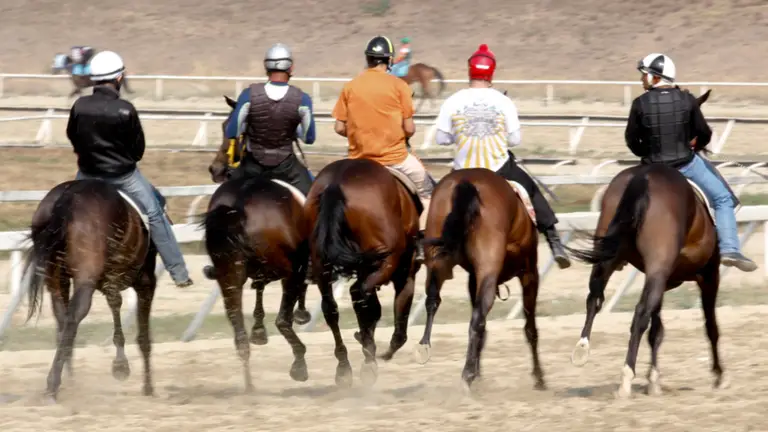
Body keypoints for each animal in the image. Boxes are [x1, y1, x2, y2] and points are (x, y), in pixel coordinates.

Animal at [24, 179, 161, 401]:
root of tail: (68, 195)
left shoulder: (109, 282)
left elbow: (115, 304)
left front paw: (121, 365)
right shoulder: (145, 282)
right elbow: (144, 338)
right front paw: (146, 386)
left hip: (56, 278)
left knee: (62, 317)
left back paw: (68, 381)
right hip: (85, 279)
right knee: (74, 316)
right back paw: (53, 383)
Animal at [305, 158, 422, 387]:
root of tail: (336, 183)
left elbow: (373, 310)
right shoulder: (403, 274)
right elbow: (398, 324)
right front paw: (377, 351)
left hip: (321, 264)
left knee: (331, 308)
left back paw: (344, 367)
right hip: (385, 263)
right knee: (358, 294)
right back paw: (368, 357)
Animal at [412, 168, 545, 391]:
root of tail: (465, 183)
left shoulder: (473, 278)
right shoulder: (529, 274)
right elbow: (530, 329)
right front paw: (539, 378)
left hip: (439, 259)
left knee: (433, 298)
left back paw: (425, 346)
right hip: (489, 269)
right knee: (477, 318)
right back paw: (467, 375)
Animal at [566, 90, 730, 398]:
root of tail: (643, 178)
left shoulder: (663, 278)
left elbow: (658, 329)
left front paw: (654, 379)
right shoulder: (708, 274)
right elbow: (710, 324)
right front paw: (719, 375)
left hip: (613, 255)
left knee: (595, 297)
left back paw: (582, 350)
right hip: (660, 266)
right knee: (640, 313)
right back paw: (625, 378)